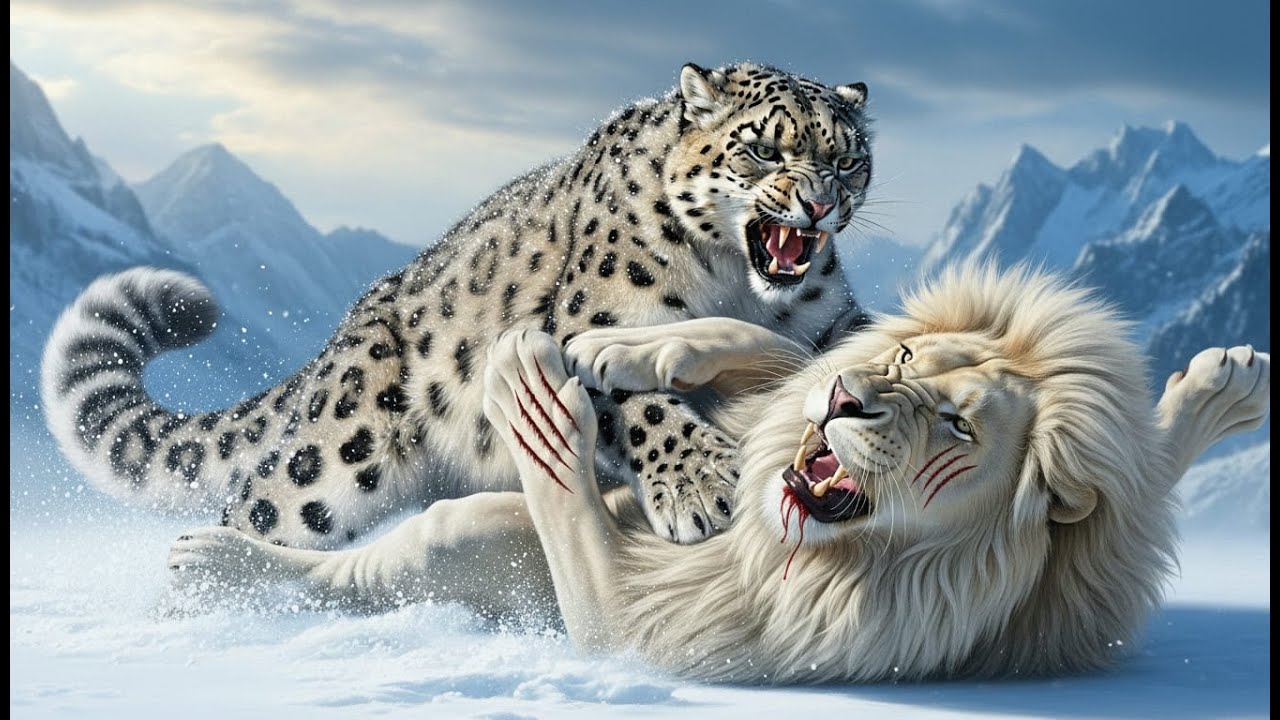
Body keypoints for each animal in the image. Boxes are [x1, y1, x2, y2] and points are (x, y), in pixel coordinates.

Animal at [41, 62, 876, 549]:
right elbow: (637, 400)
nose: (818, 203)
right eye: (762, 149)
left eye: (847, 160)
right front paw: (703, 486)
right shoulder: (594, 326)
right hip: (331, 463)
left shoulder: (827, 327)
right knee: (258, 509)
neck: (738, 283)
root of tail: (349, 326)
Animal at [168, 265, 1270, 683]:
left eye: (956, 425)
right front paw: (620, 350)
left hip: (471, 537)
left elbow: (572, 506)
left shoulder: (651, 627)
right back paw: (1227, 378)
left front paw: (538, 391)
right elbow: (764, 350)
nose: (850, 403)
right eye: (907, 362)